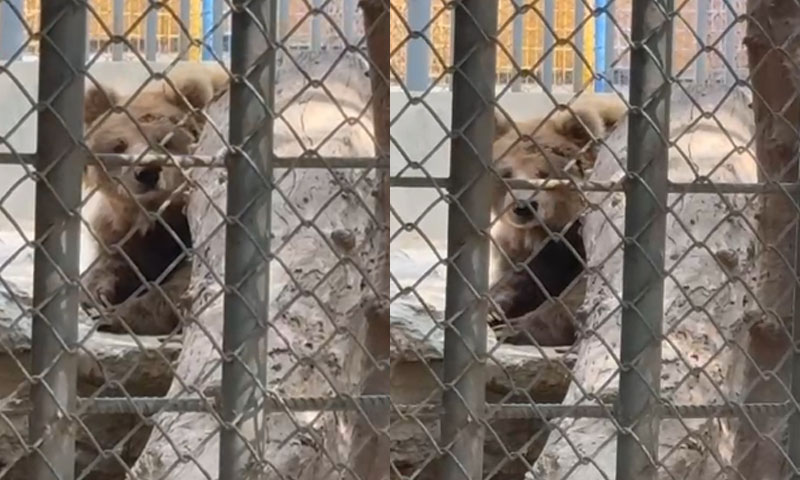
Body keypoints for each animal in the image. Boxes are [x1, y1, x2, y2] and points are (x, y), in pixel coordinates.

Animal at [79, 62, 229, 335]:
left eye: (166, 141)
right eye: (119, 145)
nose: (147, 172)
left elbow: (180, 285)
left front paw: (120, 315)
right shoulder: (120, 232)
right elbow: (114, 262)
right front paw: (97, 295)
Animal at [488, 95, 626, 346]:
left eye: (544, 172)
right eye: (507, 173)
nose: (523, 206)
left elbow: (579, 291)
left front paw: (517, 328)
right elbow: (531, 273)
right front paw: (493, 307)